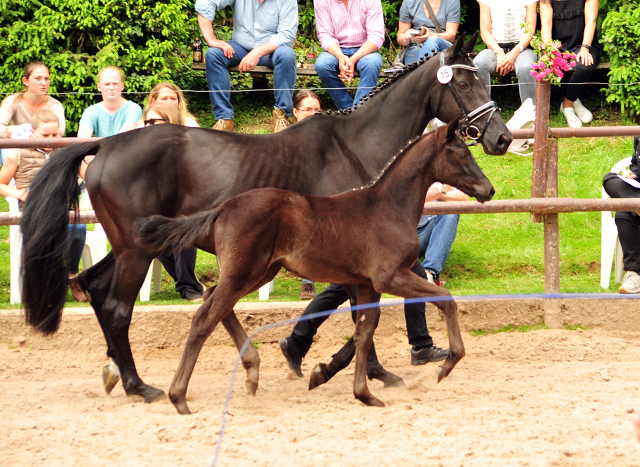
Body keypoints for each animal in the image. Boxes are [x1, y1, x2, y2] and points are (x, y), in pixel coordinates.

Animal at [134, 119, 496, 414]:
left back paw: (251, 371)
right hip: (243, 272)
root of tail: (222, 208)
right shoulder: (390, 276)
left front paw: (361, 391)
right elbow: (445, 299)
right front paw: (446, 365)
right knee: (203, 318)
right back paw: (179, 397)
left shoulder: (367, 284)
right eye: (460, 154)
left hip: (258, 272)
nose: (489, 189)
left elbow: (364, 330)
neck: (389, 206)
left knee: (214, 301)